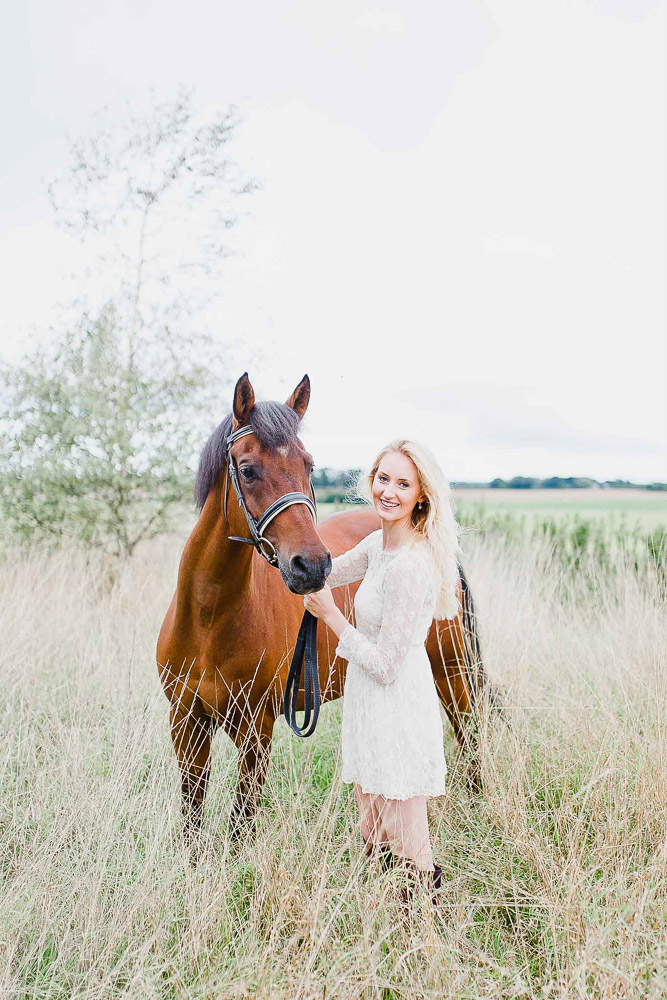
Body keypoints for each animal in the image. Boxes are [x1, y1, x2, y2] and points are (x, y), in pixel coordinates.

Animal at [159, 374, 488, 844]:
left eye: (309, 465)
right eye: (247, 469)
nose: (312, 565)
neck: (209, 618)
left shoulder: (256, 729)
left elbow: (241, 823)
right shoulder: (185, 724)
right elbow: (192, 817)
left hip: (452, 670)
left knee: (470, 738)